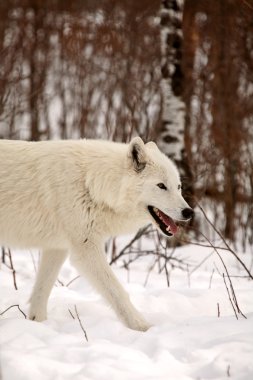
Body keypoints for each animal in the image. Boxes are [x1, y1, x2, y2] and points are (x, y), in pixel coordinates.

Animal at [0, 138, 193, 332]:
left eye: (178, 187)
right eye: (161, 186)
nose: (189, 212)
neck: (90, 183)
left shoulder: (57, 248)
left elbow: (42, 290)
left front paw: (37, 323)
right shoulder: (86, 249)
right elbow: (117, 291)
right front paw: (142, 327)